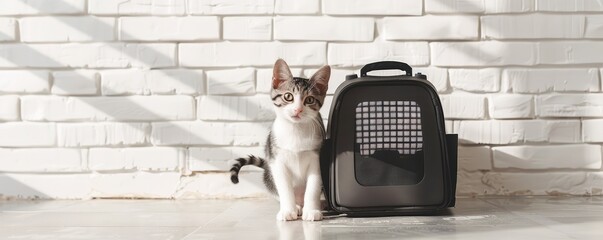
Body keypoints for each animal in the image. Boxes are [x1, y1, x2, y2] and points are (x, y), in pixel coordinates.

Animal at [229, 58, 330, 221]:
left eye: (309, 99)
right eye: (288, 96)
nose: (297, 109)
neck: (295, 130)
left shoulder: (317, 158)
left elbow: (313, 187)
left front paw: (312, 210)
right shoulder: (277, 159)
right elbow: (284, 187)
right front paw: (288, 210)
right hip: (269, 176)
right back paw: (297, 206)